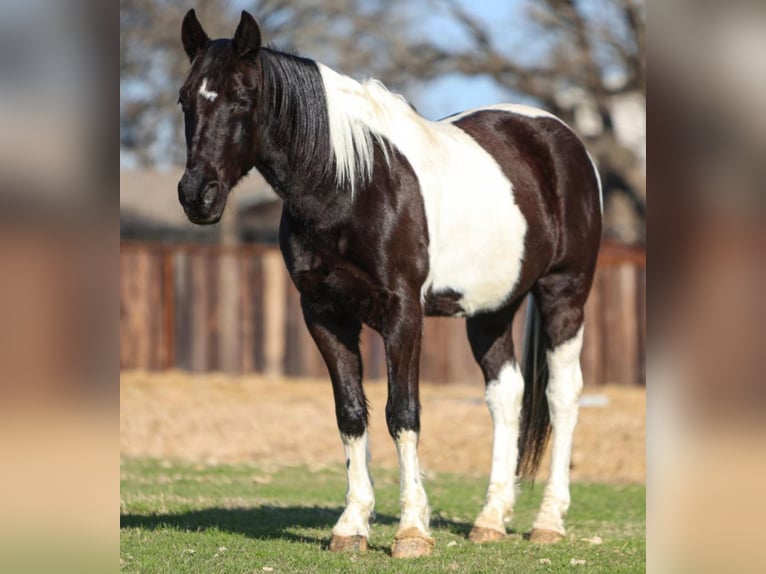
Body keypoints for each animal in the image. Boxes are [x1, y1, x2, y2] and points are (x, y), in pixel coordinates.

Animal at [177, 9, 602, 558]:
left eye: (243, 97)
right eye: (185, 98)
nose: (197, 196)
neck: (352, 185)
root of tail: (562, 137)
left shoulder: (402, 314)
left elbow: (402, 413)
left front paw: (412, 530)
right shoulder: (324, 315)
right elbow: (351, 413)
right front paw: (351, 525)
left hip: (564, 294)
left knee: (562, 395)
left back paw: (549, 521)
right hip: (491, 309)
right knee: (506, 394)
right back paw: (490, 518)